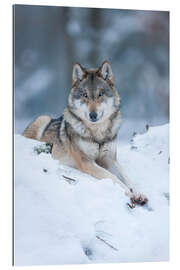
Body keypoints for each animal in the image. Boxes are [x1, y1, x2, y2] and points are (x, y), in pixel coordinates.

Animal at [22, 60, 148, 205]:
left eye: (100, 94)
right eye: (85, 95)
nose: (93, 115)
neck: (98, 134)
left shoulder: (109, 159)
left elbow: (127, 177)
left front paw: (138, 193)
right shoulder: (86, 162)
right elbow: (113, 178)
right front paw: (129, 193)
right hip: (43, 118)